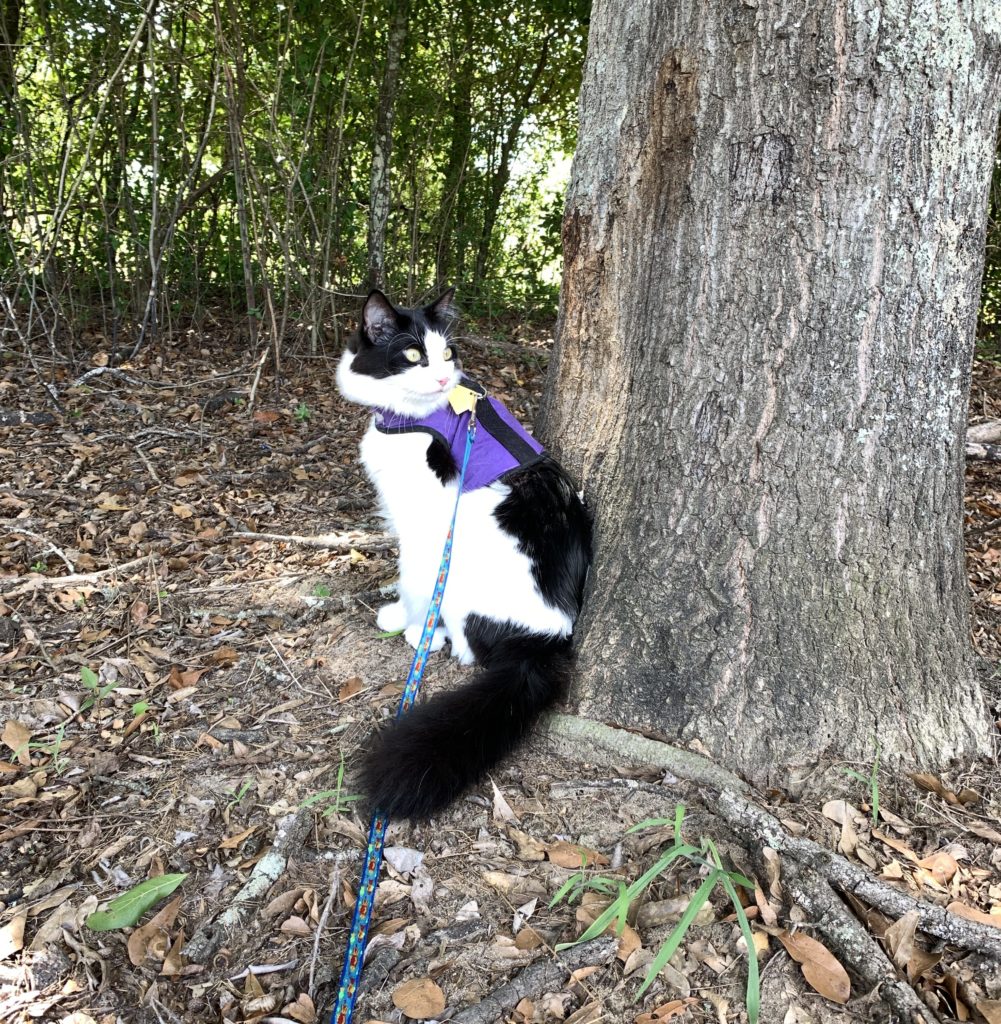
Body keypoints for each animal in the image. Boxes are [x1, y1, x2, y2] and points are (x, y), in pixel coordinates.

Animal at [335, 288, 593, 823]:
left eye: (447, 353)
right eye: (414, 354)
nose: (440, 377)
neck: (410, 418)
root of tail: (547, 639)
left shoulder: (427, 520)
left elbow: (413, 575)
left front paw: (410, 622)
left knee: (469, 649)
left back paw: (431, 637)